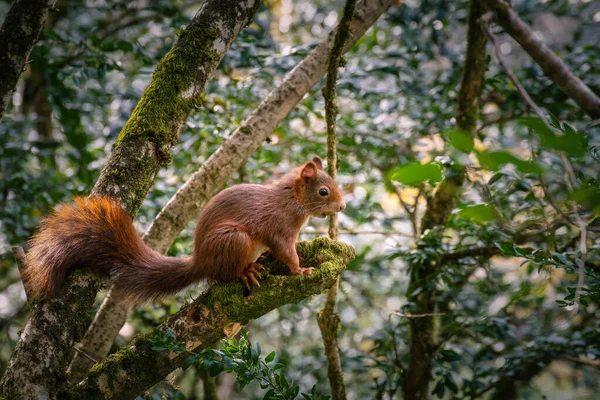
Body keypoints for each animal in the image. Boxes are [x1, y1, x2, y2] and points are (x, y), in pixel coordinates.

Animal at [23, 156, 344, 304]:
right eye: (324, 191)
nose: (341, 207)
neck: (294, 199)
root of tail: (199, 260)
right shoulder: (279, 226)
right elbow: (286, 252)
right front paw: (300, 270)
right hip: (234, 239)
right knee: (222, 276)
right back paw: (245, 271)